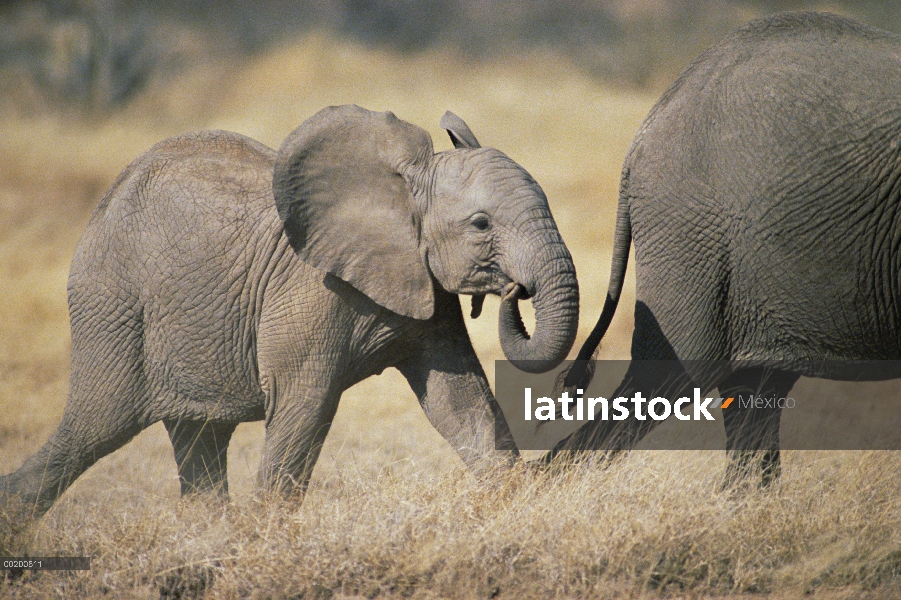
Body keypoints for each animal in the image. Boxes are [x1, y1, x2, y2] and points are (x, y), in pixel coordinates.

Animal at [1, 103, 576, 516]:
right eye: (481, 225)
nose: (514, 292)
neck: (403, 185)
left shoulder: (424, 287)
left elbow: (460, 399)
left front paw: (514, 505)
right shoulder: (313, 291)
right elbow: (305, 402)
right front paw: (267, 533)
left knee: (197, 437)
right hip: (113, 306)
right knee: (93, 428)